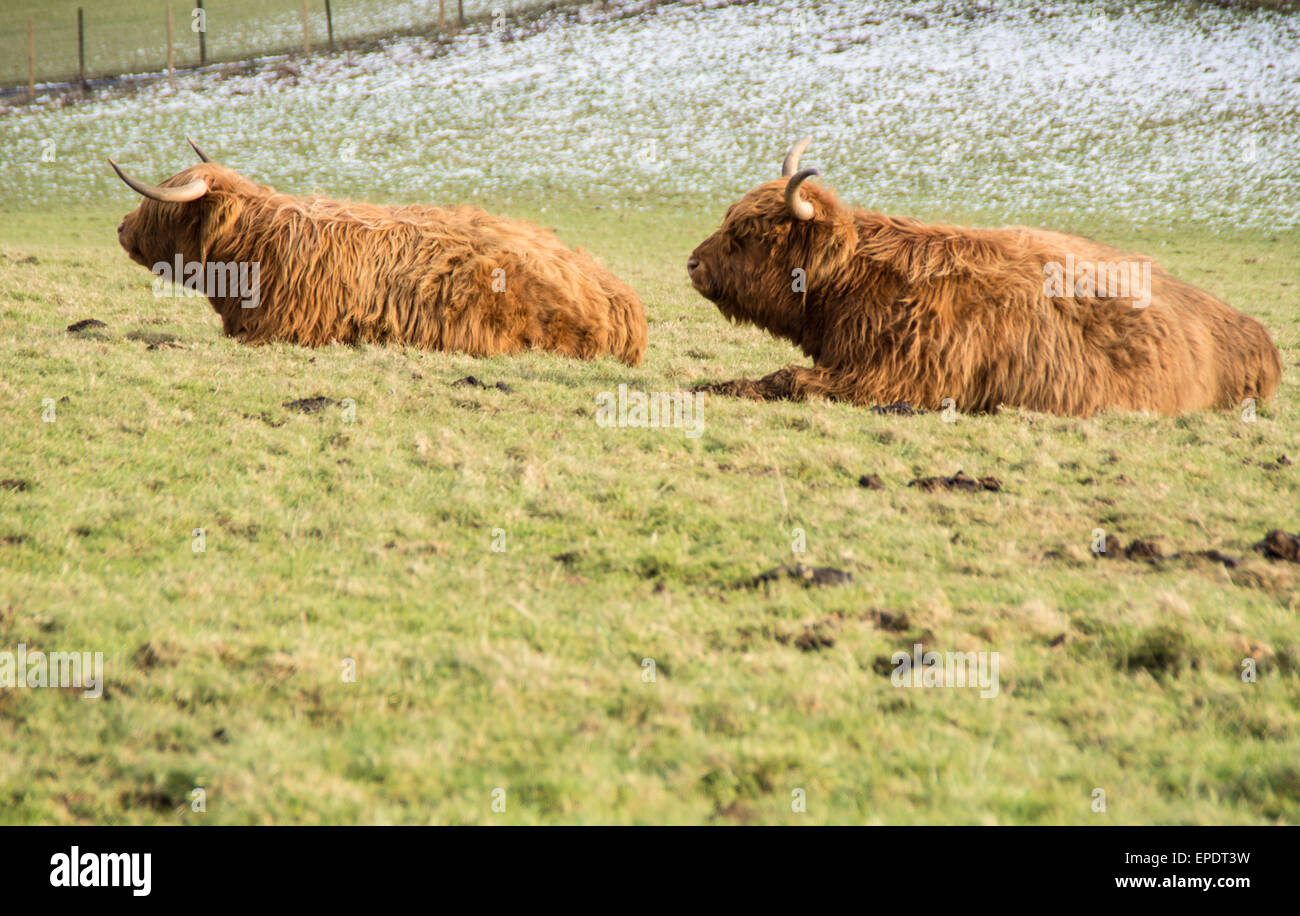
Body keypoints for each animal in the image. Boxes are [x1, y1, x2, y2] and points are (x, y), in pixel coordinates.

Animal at [686, 136, 1284, 418]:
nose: (692, 263)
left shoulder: (885, 379)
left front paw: (709, 386)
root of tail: (1253, 333)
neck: (859, 278)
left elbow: (785, 380)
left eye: (753, 232)